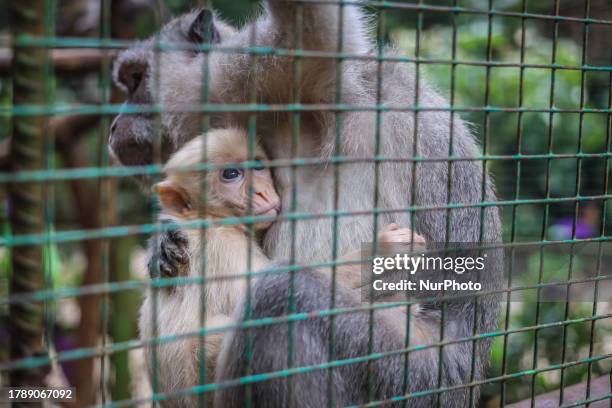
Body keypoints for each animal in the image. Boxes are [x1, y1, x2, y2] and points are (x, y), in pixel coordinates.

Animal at [140, 127, 424, 404]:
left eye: (257, 166)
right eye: (230, 174)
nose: (261, 192)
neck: (213, 218)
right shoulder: (225, 245)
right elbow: (267, 285)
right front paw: (381, 251)